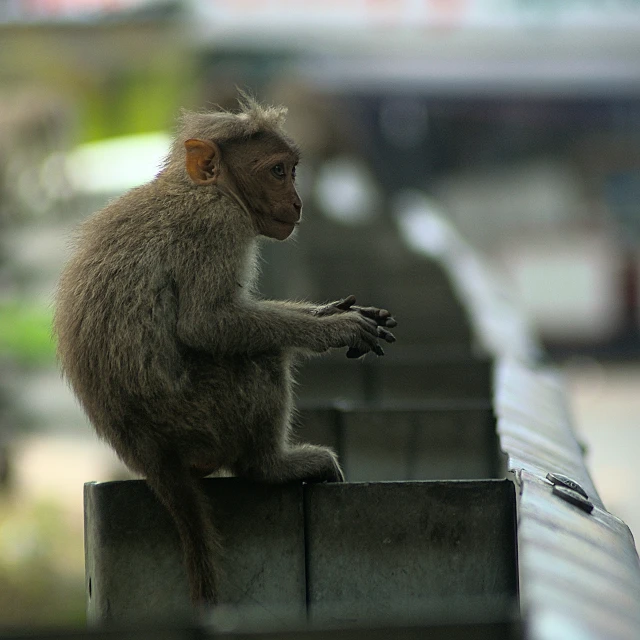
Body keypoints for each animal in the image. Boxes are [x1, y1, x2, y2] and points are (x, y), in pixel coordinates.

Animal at [53, 95, 396, 608]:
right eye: (277, 171)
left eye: (292, 170)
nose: (298, 202)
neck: (204, 188)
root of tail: (147, 453)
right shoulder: (217, 225)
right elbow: (206, 324)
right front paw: (333, 329)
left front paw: (327, 312)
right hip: (202, 417)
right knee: (261, 358)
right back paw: (269, 467)